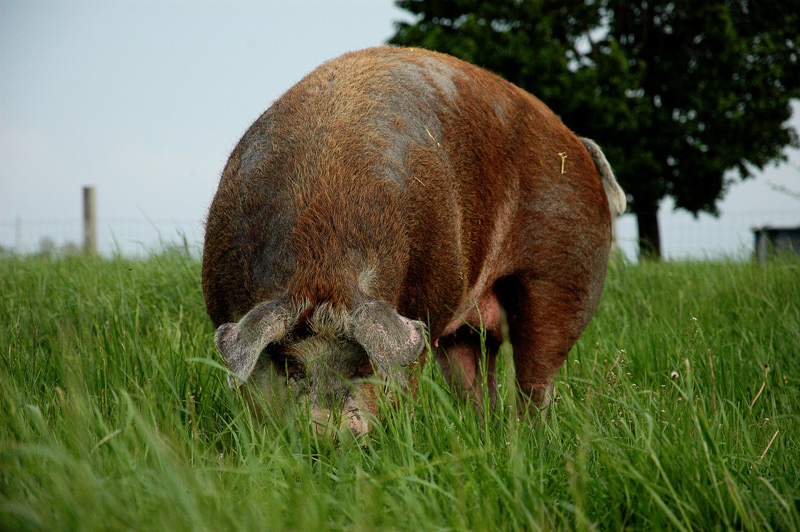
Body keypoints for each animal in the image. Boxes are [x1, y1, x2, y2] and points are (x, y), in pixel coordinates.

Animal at [202, 46, 626, 437]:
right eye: (290, 364)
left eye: (363, 365)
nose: (330, 432)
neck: (323, 263)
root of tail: (576, 139)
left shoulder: (422, 304)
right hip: (468, 328)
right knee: (477, 382)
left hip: (566, 274)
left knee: (537, 374)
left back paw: (528, 439)